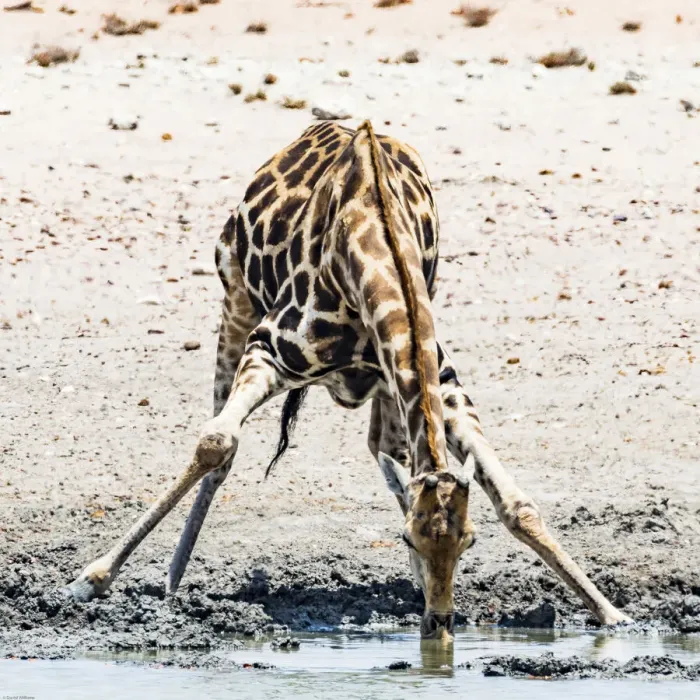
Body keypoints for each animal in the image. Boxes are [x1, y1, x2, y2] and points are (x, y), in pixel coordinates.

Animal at [64, 121, 632, 638]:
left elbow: (516, 504)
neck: (375, 245)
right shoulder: (269, 350)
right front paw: (91, 579)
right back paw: (173, 580)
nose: (440, 623)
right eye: (406, 539)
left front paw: (611, 614)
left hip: (381, 388)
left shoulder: (441, 382)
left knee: (386, 448)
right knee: (221, 448)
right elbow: (215, 441)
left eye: (469, 540)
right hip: (236, 302)